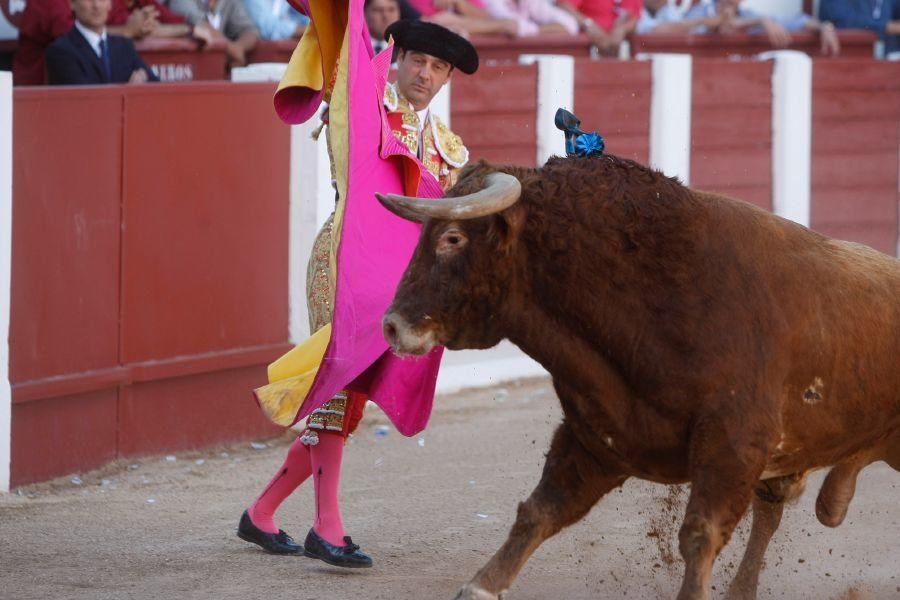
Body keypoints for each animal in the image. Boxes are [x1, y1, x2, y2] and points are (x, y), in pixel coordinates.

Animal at [374, 156, 900, 600]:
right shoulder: (599, 438)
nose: (392, 325)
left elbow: (700, 535)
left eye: (453, 238)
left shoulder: (733, 444)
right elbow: (539, 511)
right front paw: (483, 585)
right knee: (772, 508)